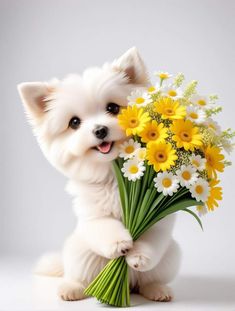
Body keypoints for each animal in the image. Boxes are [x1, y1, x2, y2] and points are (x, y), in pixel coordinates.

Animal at [17, 48, 180, 302]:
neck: (113, 175)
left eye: (112, 108)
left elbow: (151, 236)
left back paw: (157, 290)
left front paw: (138, 255)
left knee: (149, 280)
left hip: (170, 258)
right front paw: (120, 243)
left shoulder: (160, 219)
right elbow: (104, 227)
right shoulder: (91, 216)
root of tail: (129, 284)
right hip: (79, 254)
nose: (100, 130)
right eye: (74, 122)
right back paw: (72, 288)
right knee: (82, 277)